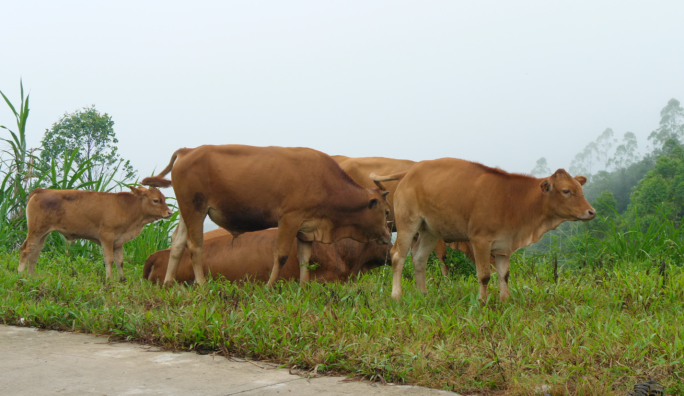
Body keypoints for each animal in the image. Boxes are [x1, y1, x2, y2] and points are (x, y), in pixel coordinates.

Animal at [20, 187, 174, 280]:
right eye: (156, 200)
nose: (169, 212)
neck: (128, 208)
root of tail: (42, 190)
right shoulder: (107, 236)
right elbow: (109, 260)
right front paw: (109, 279)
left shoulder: (118, 241)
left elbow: (120, 261)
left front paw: (122, 279)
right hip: (36, 230)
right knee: (26, 250)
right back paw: (20, 275)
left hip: (43, 233)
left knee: (34, 253)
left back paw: (31, 276)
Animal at [142, 145, 392, 288]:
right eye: (387, 211)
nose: (389, 237)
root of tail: (188, 150)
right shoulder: (289, 219)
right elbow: (281, 255)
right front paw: (270, 286)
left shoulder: (306, 227)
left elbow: (305, 258)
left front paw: (303, 288)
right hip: (196, 209)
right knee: (195, 246)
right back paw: (202, 285)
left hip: (188, 211)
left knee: (177, 242)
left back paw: (168, 283)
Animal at [372, 159, 596, 302]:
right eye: (566, 191)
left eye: (581, 189)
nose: (591, 212)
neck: (515, 200)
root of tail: (411, 170)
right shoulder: (480, 240)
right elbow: (484, 275)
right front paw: (482, 301)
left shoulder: (504, 245)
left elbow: (504, 275)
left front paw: (505, 300)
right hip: (407, 223)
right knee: (398, 256)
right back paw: (396, 296)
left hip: (430, 231)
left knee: (419, 259)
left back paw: (423, 295)